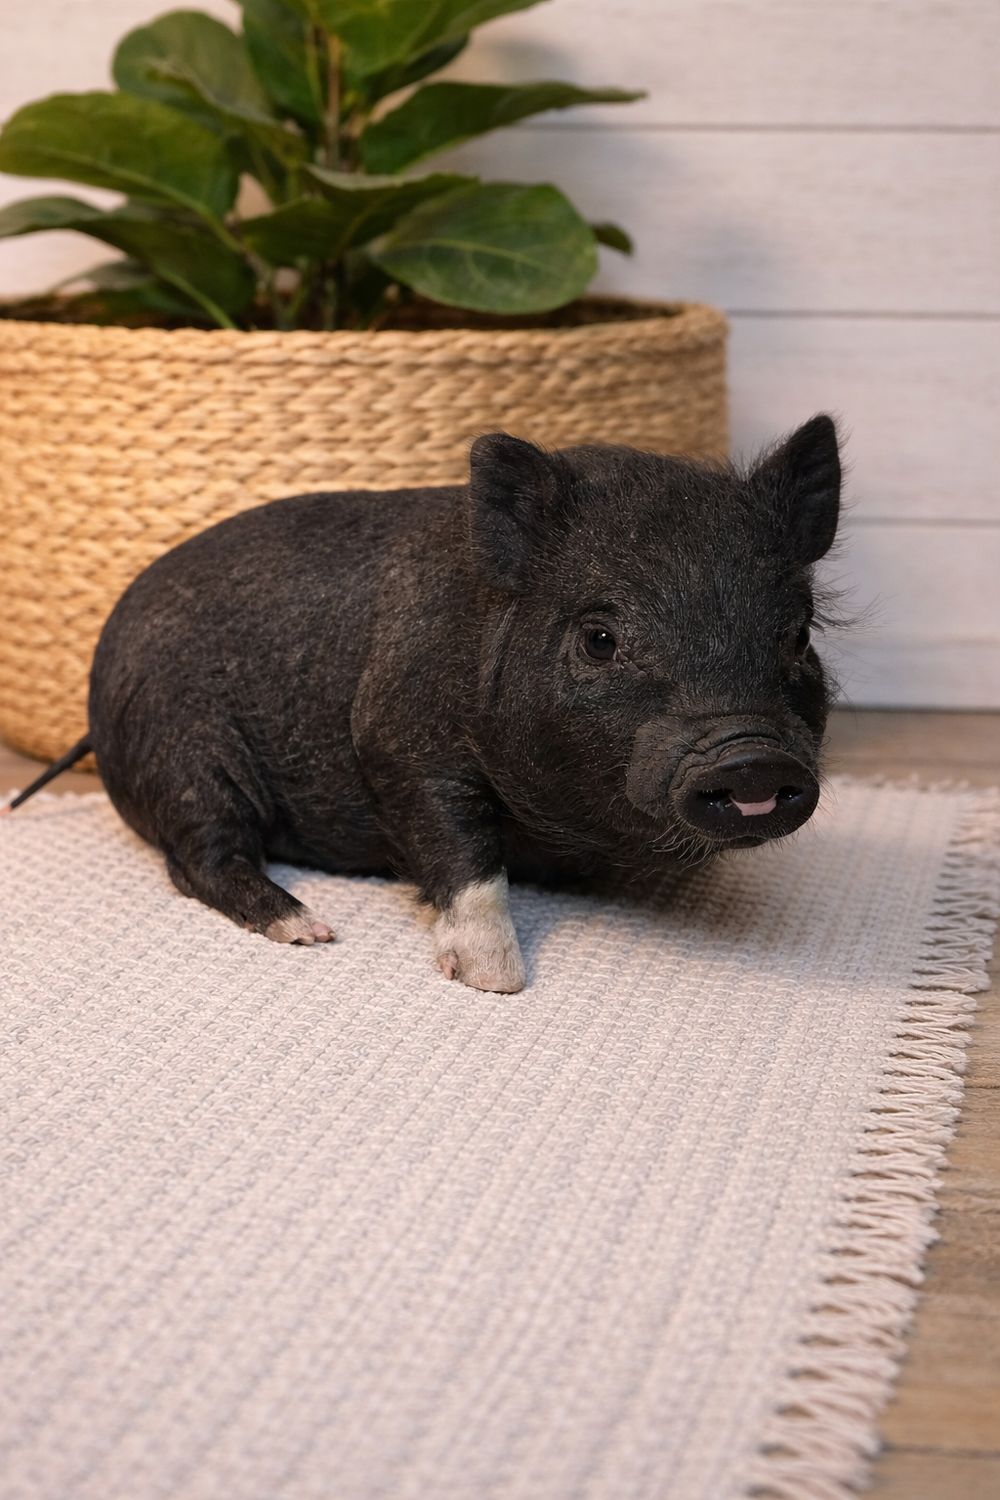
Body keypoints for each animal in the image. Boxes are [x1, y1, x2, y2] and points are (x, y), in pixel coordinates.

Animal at [6, 415, 842, 992]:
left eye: (798, 633)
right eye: (600, 638)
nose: (750, 755)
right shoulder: (396, 740)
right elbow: (460, 849)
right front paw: (497, 981)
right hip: (180, 747)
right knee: (199, 857)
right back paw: (309, 930)